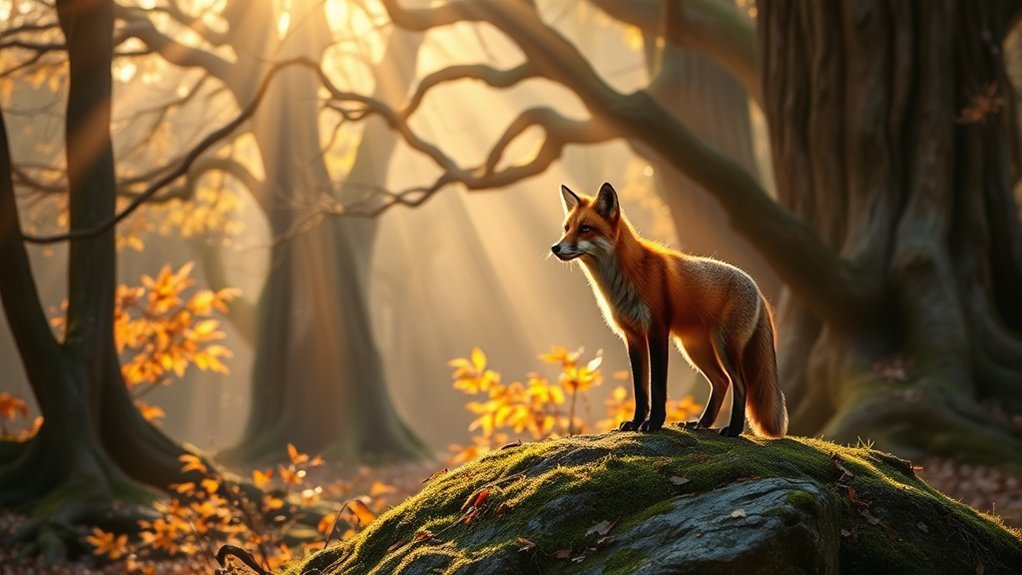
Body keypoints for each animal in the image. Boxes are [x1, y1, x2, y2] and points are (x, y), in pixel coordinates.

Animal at [551, 182, 787, 438]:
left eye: (585, 228)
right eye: (566, 228)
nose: (555, 247)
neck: (622, 278)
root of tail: (757, 289)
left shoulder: (657, 329)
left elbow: (657, 386)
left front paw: (654, 423)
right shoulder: (632, 335)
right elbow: (640, 389)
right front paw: (635, 422)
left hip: (724, 346)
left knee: (740, 384)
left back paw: (732, 429)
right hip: (694, 349)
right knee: (722, 382)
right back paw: (702, 423)